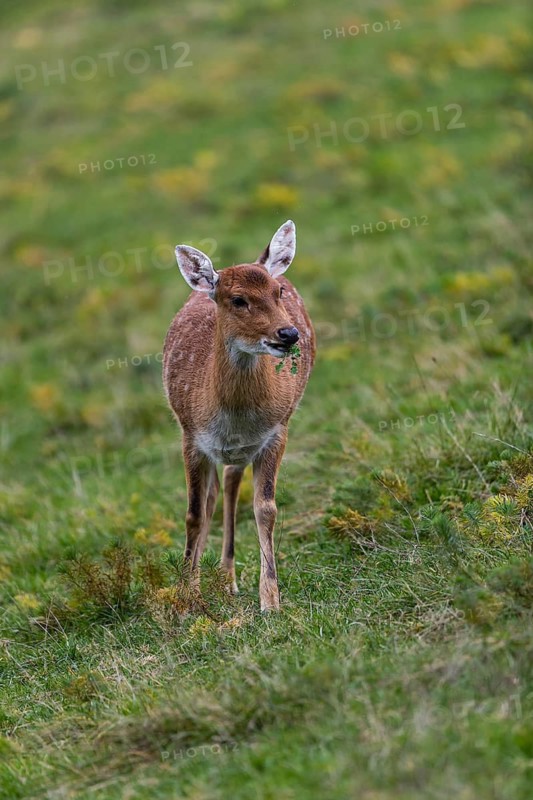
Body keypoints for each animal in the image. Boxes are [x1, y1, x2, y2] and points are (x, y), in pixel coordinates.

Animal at [163, 220, 315, 611]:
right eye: (237, 299)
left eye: (278, 292)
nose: (288, 333)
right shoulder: (190, 436)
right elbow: (194, 513)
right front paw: (188, 597)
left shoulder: (277, 431)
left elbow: (266, 509)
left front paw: (271, 601)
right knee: (214, 494)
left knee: (231, 481)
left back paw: (228, 579)